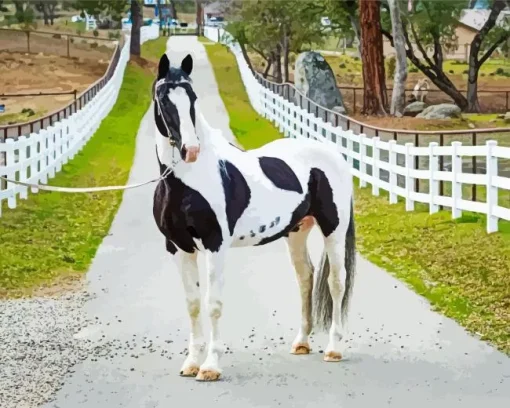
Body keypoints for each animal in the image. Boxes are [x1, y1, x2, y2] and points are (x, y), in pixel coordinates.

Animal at [153, 52, 356, 380]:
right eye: (162, 98)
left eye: (193, 97)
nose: (190, 149)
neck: (187, 181)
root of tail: (334, 155)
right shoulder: (178, 247)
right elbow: (193, 304)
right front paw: (191, 363)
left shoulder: (215, 245)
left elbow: (213, 304)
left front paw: (210, 367)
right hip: (297, 231)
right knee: (306, 277)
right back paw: (301, 342)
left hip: (334, 230)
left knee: (336, 282)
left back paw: (334, 349)